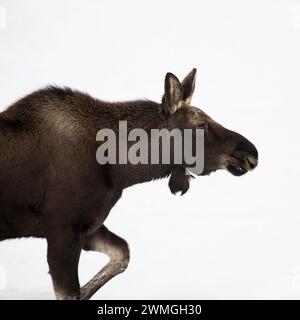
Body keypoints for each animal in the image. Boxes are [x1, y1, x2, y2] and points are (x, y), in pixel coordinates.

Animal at [0, 68, 258, 300]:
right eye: (201, 125)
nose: (251, 152)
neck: (122, 170)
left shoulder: (87, 227)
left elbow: (122, 254)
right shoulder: (62, 228)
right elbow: (70, 292)